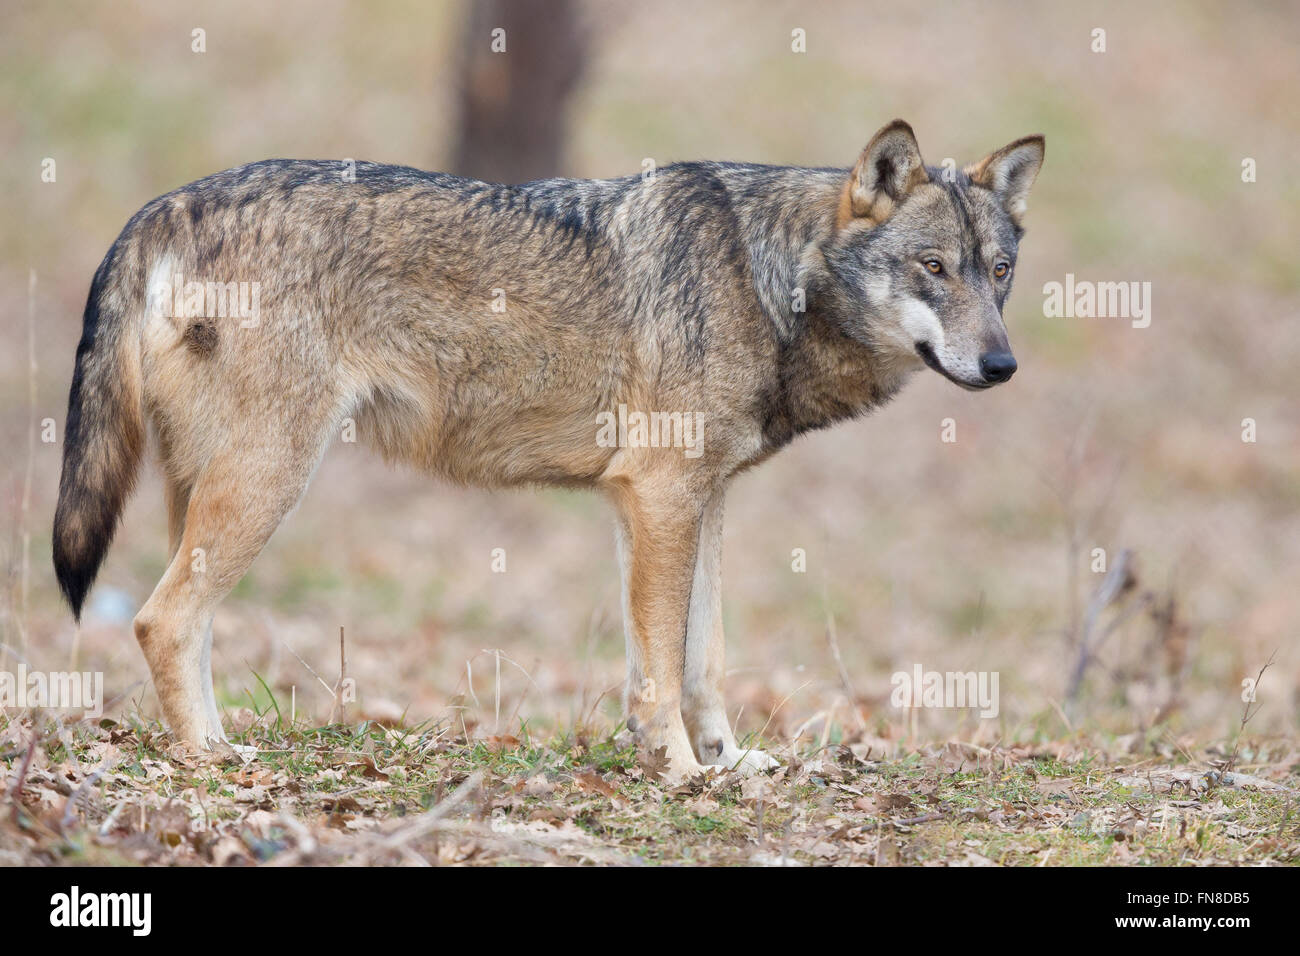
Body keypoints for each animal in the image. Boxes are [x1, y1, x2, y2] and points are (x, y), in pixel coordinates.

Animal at [53, 119, 1045, 780]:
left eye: (999, 272)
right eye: (932, 268)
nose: (1003, 365)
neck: (769, 280)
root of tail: (163, 206)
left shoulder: (688, 501)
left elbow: (704, 658)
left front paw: (726, 763)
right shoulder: (662, 496)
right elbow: (661, 669)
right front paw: (679, 771)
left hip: (211, 494)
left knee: (184, 623)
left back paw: (218, 743)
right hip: (267, 483)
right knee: (159, 618)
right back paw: (211, 766)